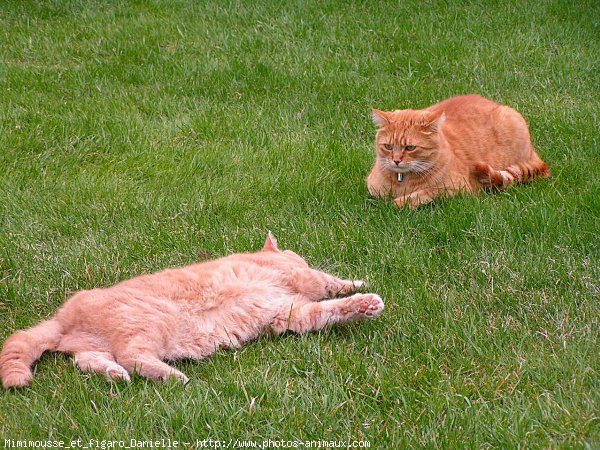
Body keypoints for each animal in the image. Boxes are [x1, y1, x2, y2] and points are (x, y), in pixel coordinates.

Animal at [1, 234, 384, 388]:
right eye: (297, 256)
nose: (298, 257)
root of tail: (62, 317)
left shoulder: (291, 313)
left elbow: (328, 309)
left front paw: (360, 305)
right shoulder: (301, 278)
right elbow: (329, 283)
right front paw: (360, 287)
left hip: (96, 347)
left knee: (90, 361)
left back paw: (114, 375)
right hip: (149, 323)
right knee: (132, 356)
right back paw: (173, 377)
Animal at [364, 96, 552, 208]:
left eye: (410, 147)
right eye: (388, 146)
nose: (396, 160)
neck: (402, 182)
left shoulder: (455, 189)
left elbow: (421, 194)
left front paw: (399, 202)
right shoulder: (373, 189)